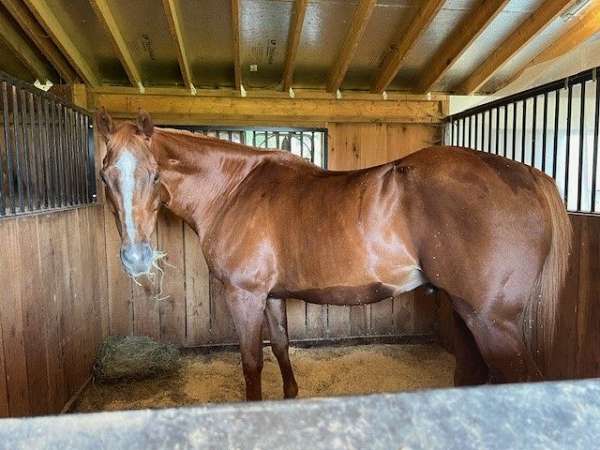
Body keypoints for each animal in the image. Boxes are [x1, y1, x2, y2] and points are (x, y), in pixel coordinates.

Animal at [97, 110, 572, 400]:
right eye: (105, 175)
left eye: (153, 174)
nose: (136, 258)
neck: (234, 190)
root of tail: (528, 175)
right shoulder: (271, 296)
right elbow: (281, 346)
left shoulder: (244, 295)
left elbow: (251, 363)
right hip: (465, 312)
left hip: (493, 322)